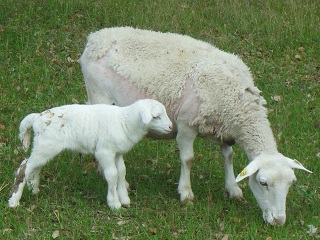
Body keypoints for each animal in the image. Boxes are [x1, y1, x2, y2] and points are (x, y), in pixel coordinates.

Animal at [8, 98, 172, 209]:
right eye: (156, 116)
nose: (171, 127)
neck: (124, 121)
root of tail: (37, 118)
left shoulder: (117, 152)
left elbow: (121, 172)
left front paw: (124, 199)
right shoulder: (104, 151)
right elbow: (112, 175)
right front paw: (114, 203)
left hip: (43, 146)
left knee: (35, 166)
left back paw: (34, 190)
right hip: (46, 145)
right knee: (25, 166)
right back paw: (14, 201)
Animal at [79, 26, 312, 225]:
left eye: (291, 183)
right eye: (263, 183)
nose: (278, 221)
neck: (236, 102)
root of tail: (94, 38)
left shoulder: (226, 129)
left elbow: (228, 157)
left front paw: (233, 189)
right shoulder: (185, 124)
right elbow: (188, 159)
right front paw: (186, 193)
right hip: (99, 95)